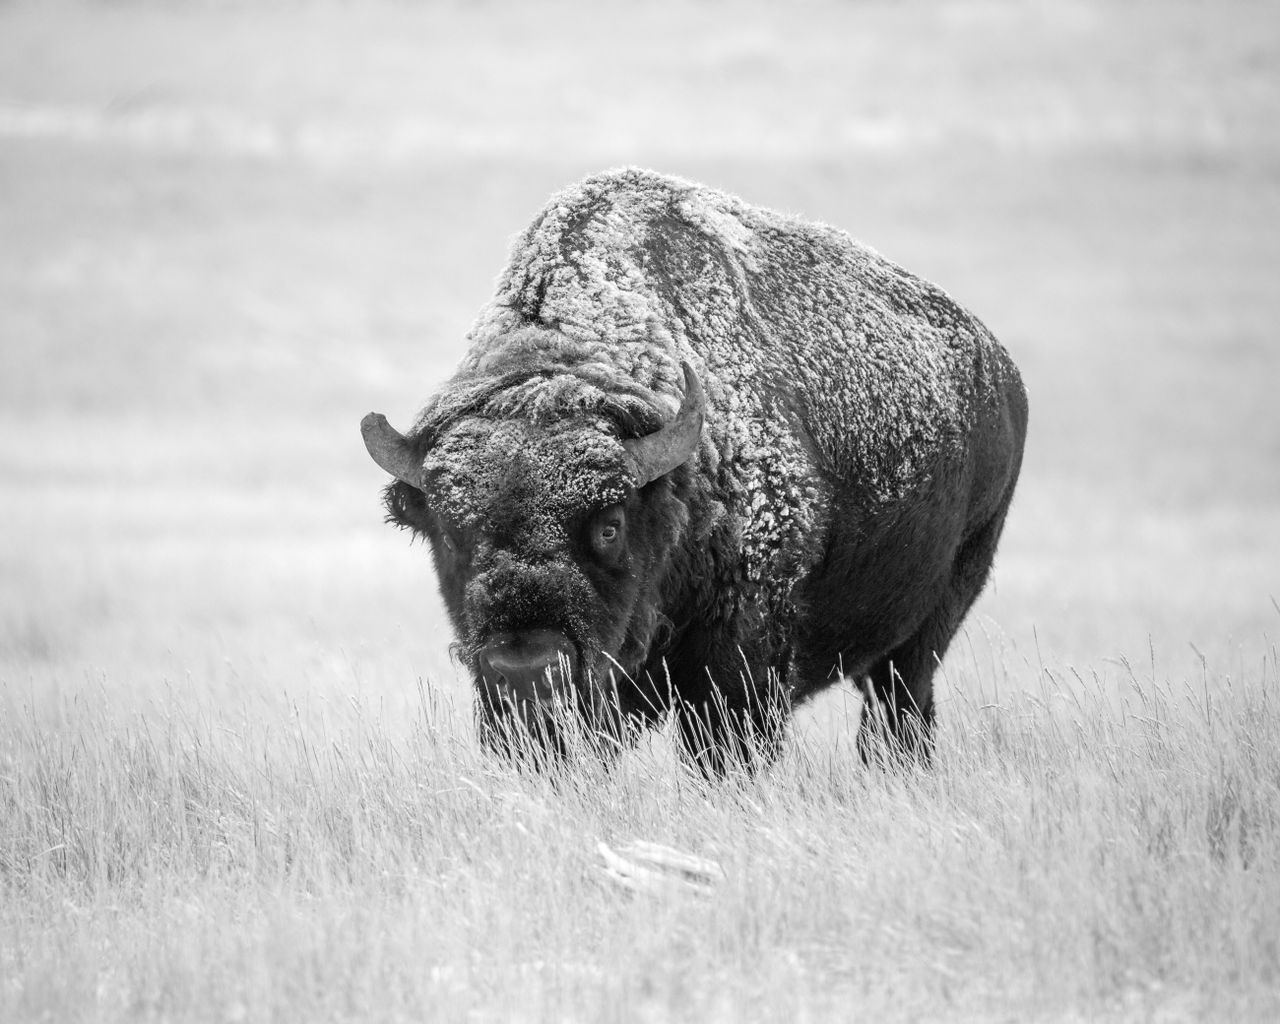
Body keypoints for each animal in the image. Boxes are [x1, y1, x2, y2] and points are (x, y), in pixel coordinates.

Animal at [362, 168, 1027, 772]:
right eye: (452, 534)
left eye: (610, 525)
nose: (526, 670)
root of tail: (1001, 371)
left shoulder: (738, 669)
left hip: (930, 625)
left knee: (898, 712)